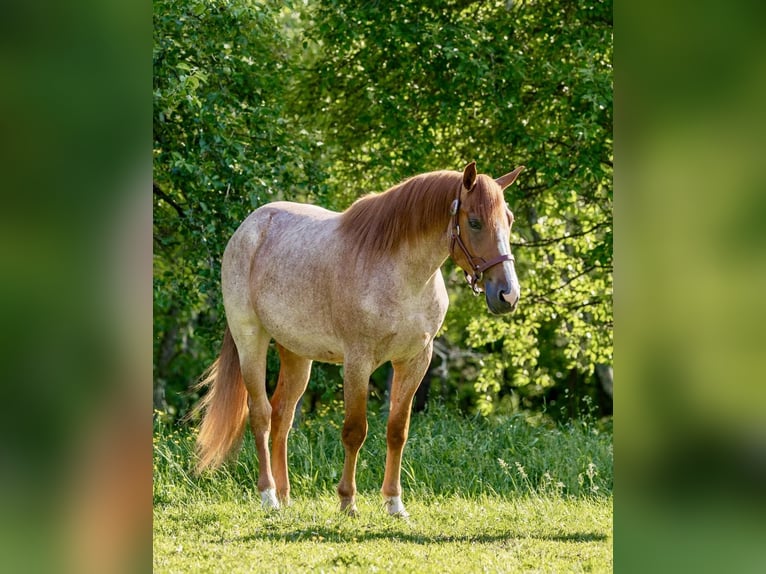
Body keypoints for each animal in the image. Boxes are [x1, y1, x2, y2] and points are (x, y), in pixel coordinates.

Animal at [194, 161, 524, 517]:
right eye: (474, 222)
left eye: (509, 219)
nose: (507, 294)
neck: (402, 276)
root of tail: (248, 227)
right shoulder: (358, 361)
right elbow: (355, 431)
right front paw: (347, 501)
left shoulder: (415, 360)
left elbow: (397, 431)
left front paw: (394, 503)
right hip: (250, 340)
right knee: (261, 415)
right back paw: (269, 496)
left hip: (296, 353)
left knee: (283, 415)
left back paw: (285, 495)